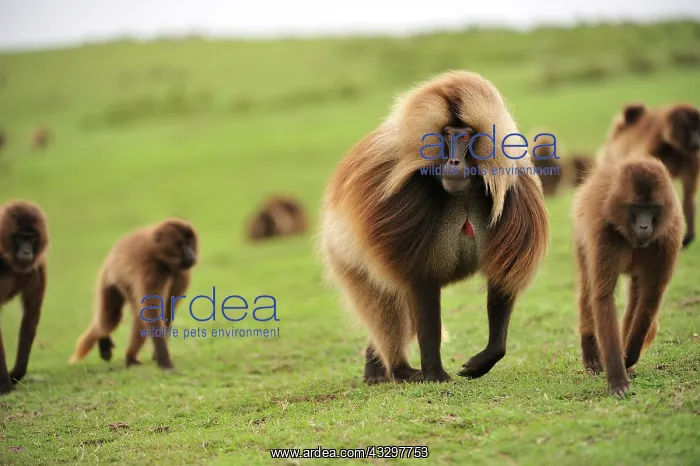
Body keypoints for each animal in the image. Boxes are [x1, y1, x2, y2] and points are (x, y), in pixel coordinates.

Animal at [0, 200, 49, 395]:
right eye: (20, 238)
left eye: (31, 238)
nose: (27, 251)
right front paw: (5, 385)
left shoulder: (38, 266)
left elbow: (31, 312)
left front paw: (16, 373)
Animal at [69, 218, 197, 370]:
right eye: (180, 244)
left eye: (189, 242)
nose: (191, 254)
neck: (159, 256)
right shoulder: (150, 270)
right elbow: (150, 313)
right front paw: (164, 361)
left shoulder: (181, 274)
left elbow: (166, 310)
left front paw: (157, 356)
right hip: (109, 278)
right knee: (110, 321)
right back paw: (114, 347)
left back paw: (127, 356)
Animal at [319, 70, 549, 385]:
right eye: (447, 136)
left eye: (465, 136)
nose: (453, 161)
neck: (464, 193)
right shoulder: (403, 208)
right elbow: (422, 283)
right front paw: (435, 373)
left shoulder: (515, 199)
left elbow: (501, 277)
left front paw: (484, 360)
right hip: (344, 257)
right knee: (384, 306)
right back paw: (399, 369)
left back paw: (376, 368)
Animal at [572, 155, 683, 398]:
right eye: (636, 208)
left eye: (651, 209)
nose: (643, 226)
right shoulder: (604, 234)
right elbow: (602, 297)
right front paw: (617, 378)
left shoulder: (667, 238)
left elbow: (650, 297)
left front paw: (629, 356)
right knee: (587, 287)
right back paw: (591, 353)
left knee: (637, 295)